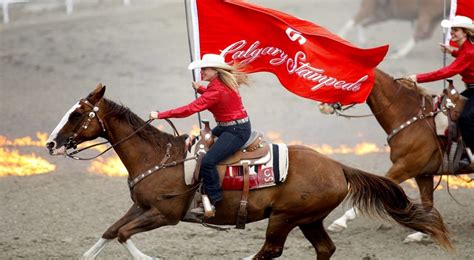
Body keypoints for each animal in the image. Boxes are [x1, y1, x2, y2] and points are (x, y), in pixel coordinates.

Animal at [47, 84, 452, 258]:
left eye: (78, 114)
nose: (51, 143)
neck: (159, 157)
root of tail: (338, 165)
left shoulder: (165, 214)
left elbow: (123, 235)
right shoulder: (140, 206)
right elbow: (110, 231)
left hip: (285, 217)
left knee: (271, 251)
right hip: (309, 219)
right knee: (324, 248)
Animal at [328, 68, 472, 242]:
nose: (325, 103)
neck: (413, 118)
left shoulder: (404, 167)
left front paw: (339, 222)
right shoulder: (423, 174)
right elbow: (427, 203)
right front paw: (422, 233)